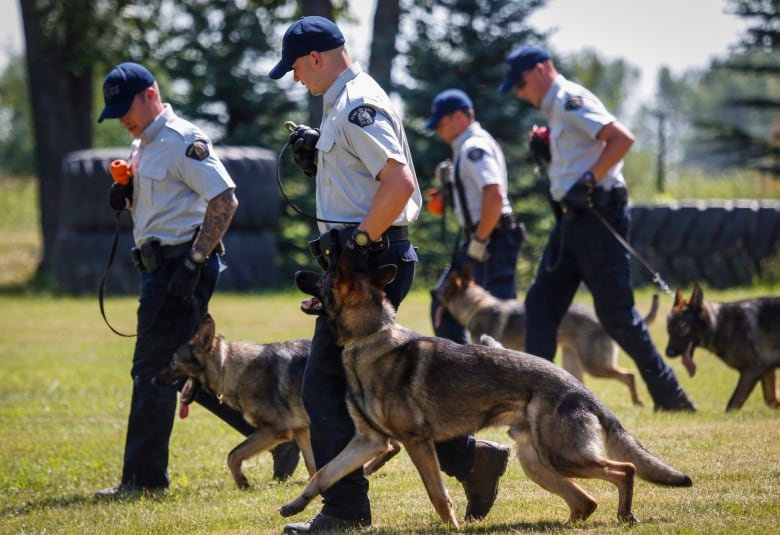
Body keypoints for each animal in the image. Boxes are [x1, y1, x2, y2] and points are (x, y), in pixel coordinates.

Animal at [152, 316, 314, 492]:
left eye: (174, 362)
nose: (153, 380)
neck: (226, 367)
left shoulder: (276, 430)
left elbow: (233, 454)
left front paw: (242, 482)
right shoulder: (301, 430)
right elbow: (312, 464)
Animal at [432, 264, 652, 406]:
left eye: (442, 289)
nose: (431, 292)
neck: (476, 305)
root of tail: (600, 323)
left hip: (594, 364)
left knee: (629, 375)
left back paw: (638, 401)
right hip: (573, 361)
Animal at [664, 284, 780, 414]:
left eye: (683, 326)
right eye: (669, 328)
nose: (668, 353)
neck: (718, 325)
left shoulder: (751, 371)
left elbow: (732, 404)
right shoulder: (765, 370)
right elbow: (771, 400)